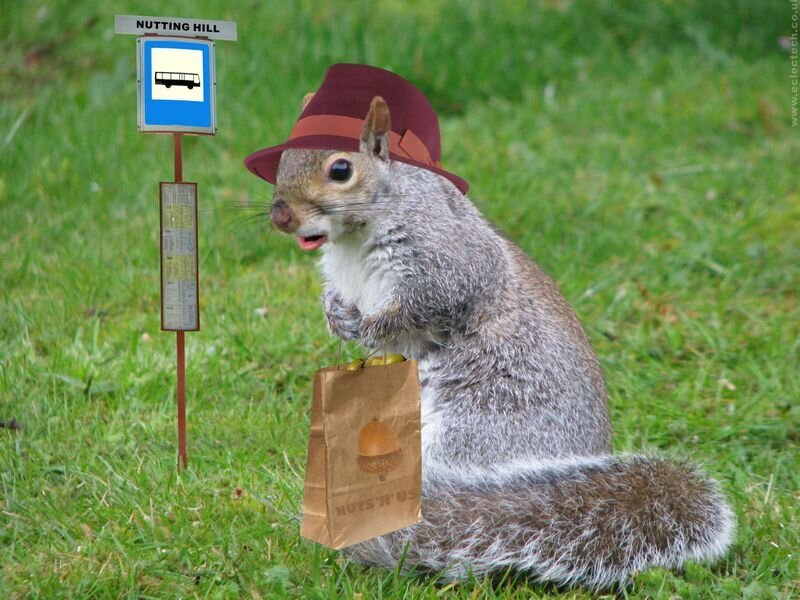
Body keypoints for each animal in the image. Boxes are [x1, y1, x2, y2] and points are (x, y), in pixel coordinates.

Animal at [268, 95, 735, 589]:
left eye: (340, 170)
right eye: (282, 160)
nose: (281, 215)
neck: (353, 239)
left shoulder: (446, 261)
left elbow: (428, 302)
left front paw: (373, 327)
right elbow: (337, 299)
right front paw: (337, 317)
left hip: (479, 430)